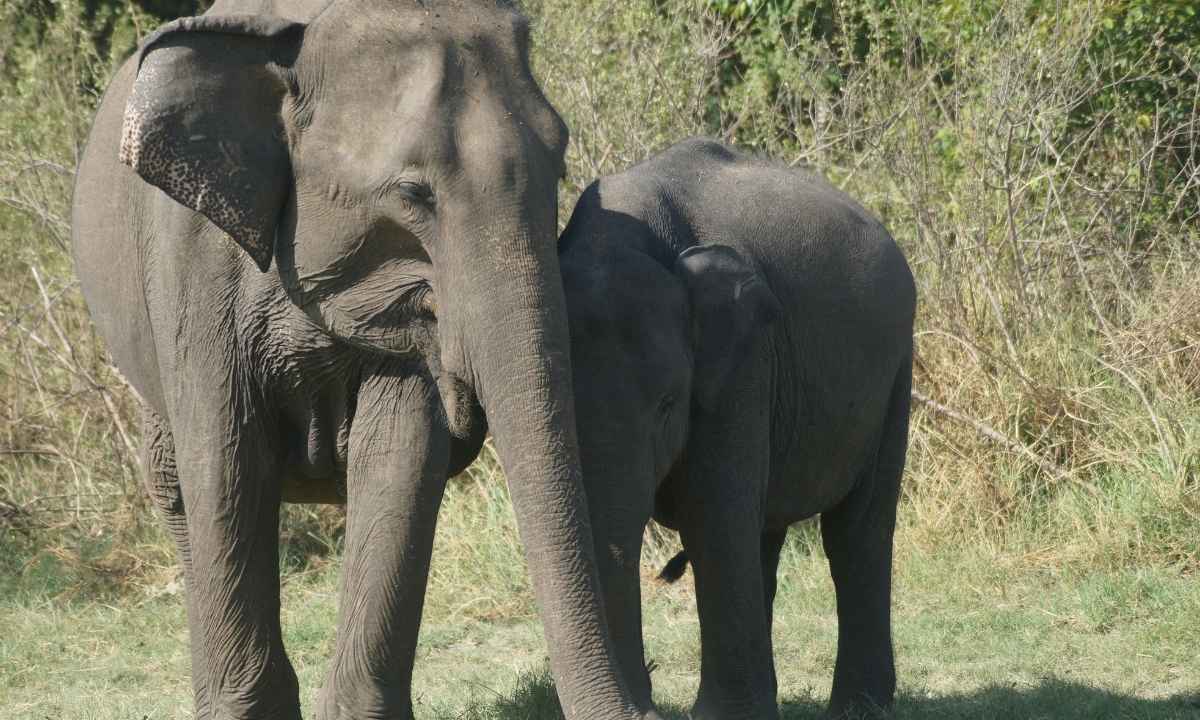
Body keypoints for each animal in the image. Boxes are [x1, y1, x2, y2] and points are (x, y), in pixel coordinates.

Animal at [71, 1, 651, 719]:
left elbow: (398, 456)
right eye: (414, 193)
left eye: (560, 170)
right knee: (175, 481)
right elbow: (227, 459)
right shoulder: (192, 262)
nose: (645, 706)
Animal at [557, 138, 916, 719]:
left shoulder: (745, 362)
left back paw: (857, 708)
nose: (645, 706)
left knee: (855, 532)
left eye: (669, 405)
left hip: (894, 370)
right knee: (765, 534)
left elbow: (714, 518)